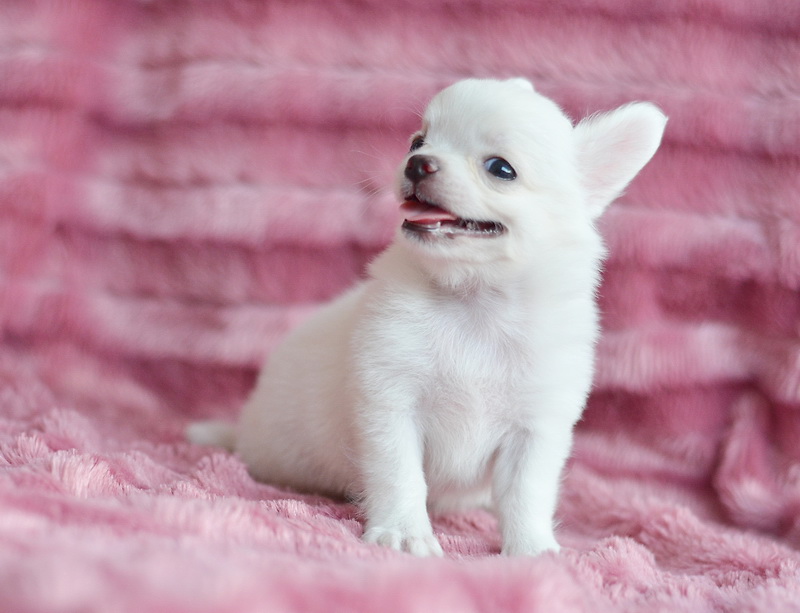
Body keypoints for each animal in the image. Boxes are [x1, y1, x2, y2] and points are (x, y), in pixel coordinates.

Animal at [188, 78, 666, 557]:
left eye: (501, 169)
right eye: (418, 142)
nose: (417, 163)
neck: (473, 301)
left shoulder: (535, 430)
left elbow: (526, 492)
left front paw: (532, 548)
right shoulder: (389, 405)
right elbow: (400, 476)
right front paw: (403, 532)